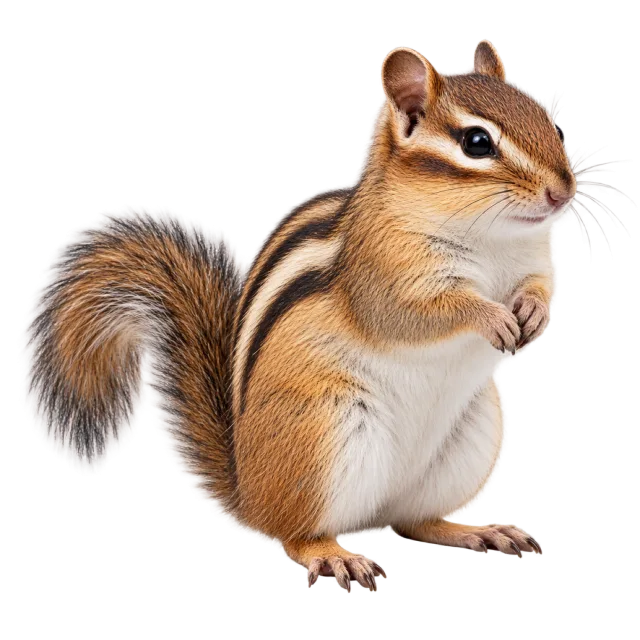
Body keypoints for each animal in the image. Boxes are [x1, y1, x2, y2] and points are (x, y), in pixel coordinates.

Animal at [20, 40, 573, 593]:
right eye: (477, 143)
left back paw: (477, 530)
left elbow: (542, 289)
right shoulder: (382, 274)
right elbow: (413, 313)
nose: (563, 193)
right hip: (325, 434)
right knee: (294, 532)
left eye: (549, 120)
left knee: (414, 521)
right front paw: (490, 316)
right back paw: (333, 554)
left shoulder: (537, 260)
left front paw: (532, 316)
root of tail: (248, 489)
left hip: (471, 438)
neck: (492, 236)